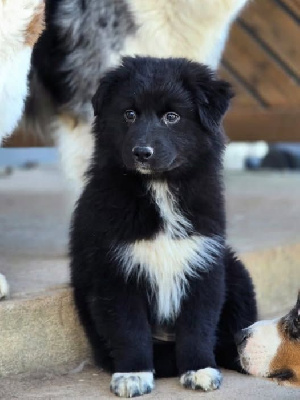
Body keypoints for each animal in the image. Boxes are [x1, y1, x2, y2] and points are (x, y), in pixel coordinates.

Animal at [69, 57, 256, 398]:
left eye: (172, 117)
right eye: (129, 114)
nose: (142, 153)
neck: (160, 188)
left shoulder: (204, 263)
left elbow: (198, 325)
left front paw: (199, 369)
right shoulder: (116, 271)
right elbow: (129, 329)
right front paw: (133, 374)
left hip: (234, 270)